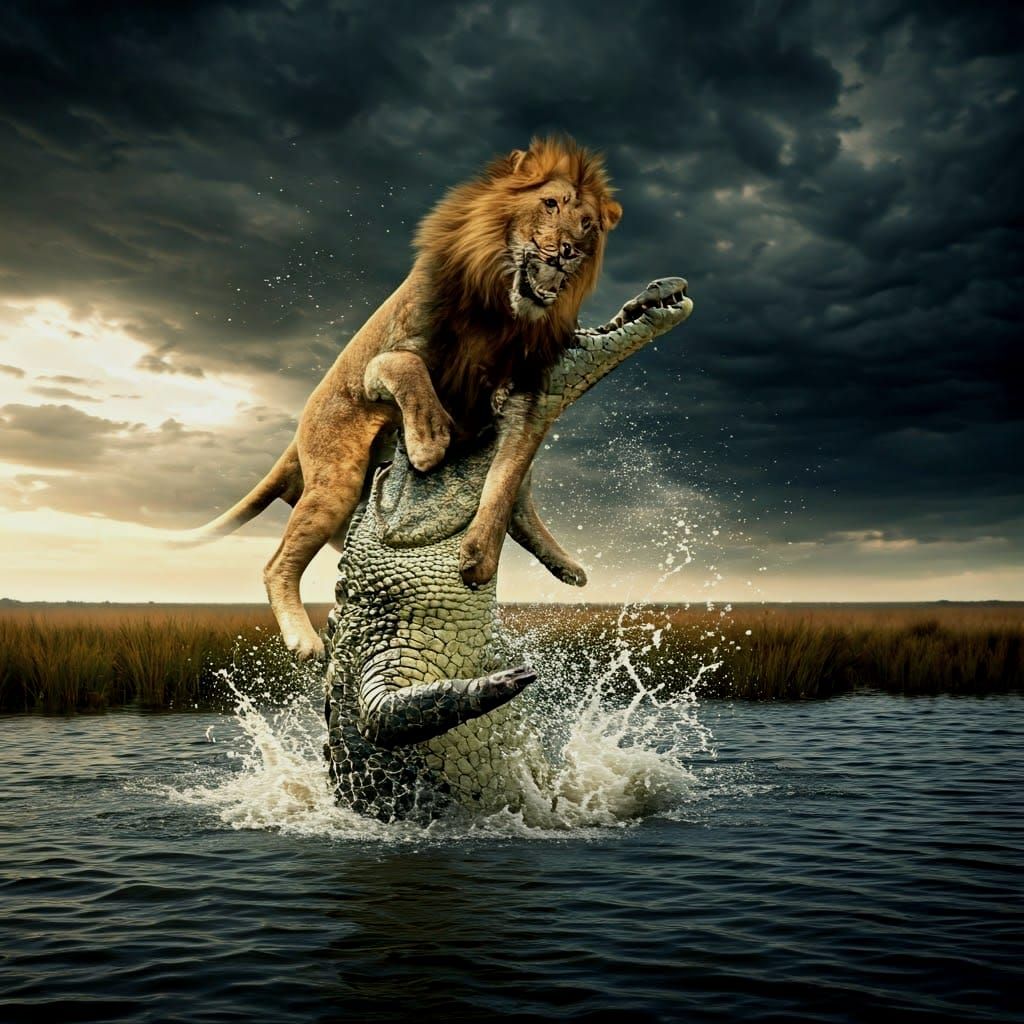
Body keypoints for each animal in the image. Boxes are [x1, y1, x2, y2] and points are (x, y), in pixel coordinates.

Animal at [189, 135, 623, 660]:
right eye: (551, 203)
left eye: (588, 224)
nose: (568, 252)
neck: (498, 306)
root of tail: (295, 438)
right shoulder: (380, 364)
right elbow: (407, 367)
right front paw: (429, 442)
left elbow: (506, 472)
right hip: (335, 483)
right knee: (277, 564)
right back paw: (304, 639)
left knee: (514, 505)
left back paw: (566, 567)